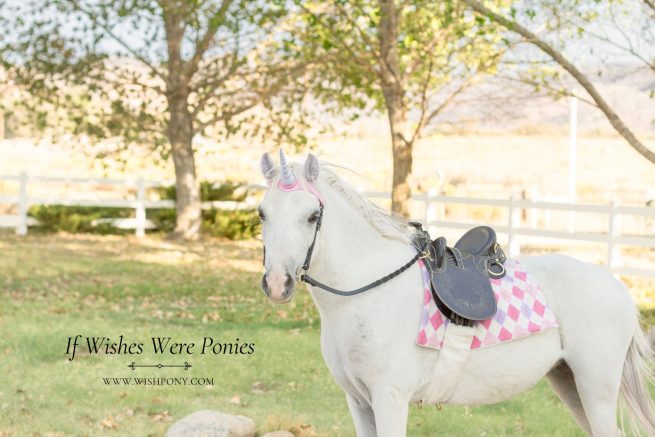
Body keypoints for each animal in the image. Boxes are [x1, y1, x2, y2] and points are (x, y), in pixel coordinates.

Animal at [257, 150, 655, 437]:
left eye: (312, 216)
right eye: (262, 213)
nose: (277, 284)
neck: (366, 294)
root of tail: (618, 288)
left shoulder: (389, 399)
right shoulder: (358, 402)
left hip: (596, 389)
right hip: (569, 383)